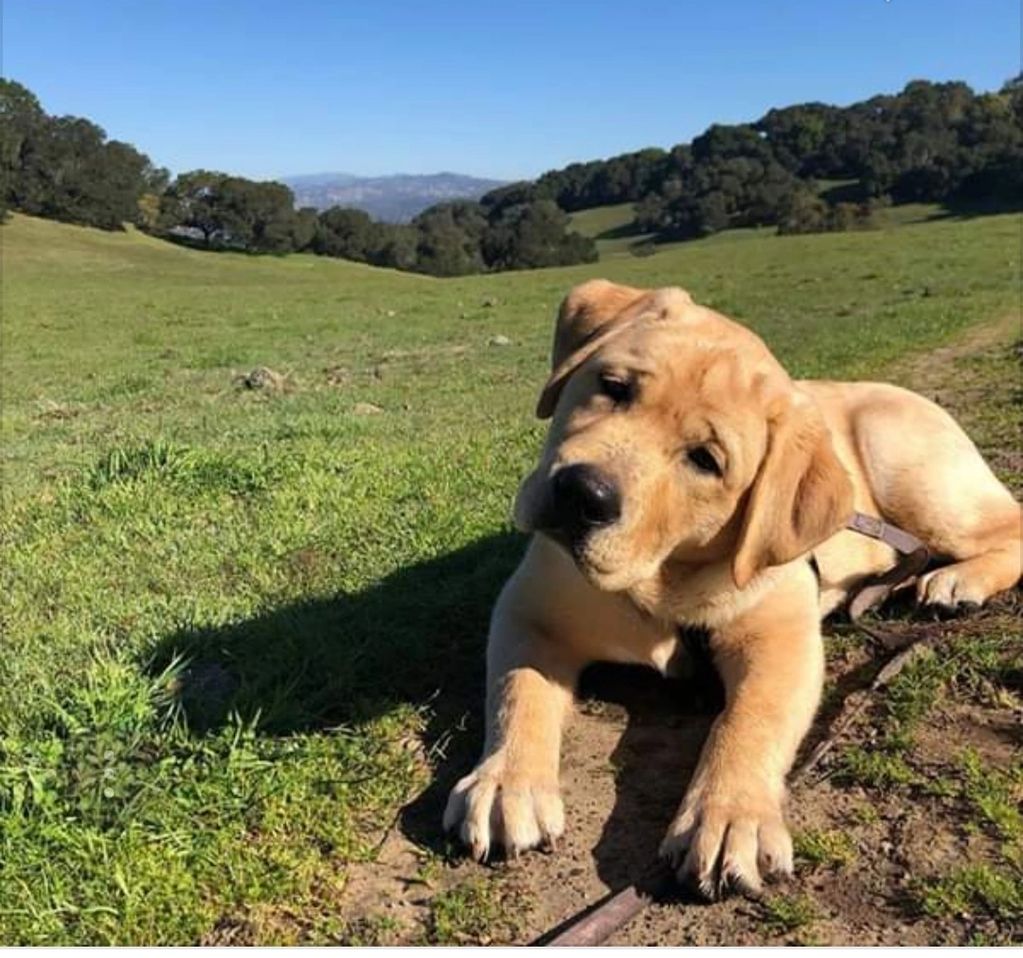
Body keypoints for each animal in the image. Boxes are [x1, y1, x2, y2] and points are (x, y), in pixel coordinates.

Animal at [441, 278, 1023, 896]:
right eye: (613, 386)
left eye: (705, 460)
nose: (581, 494)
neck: (660, 579)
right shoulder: (531, 610)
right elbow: (518, 689)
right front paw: (506, 783)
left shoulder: (780, 638)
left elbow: (749, 720)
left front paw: (729, 817)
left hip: (908, 467)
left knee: (1010, 523)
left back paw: (957, 579)